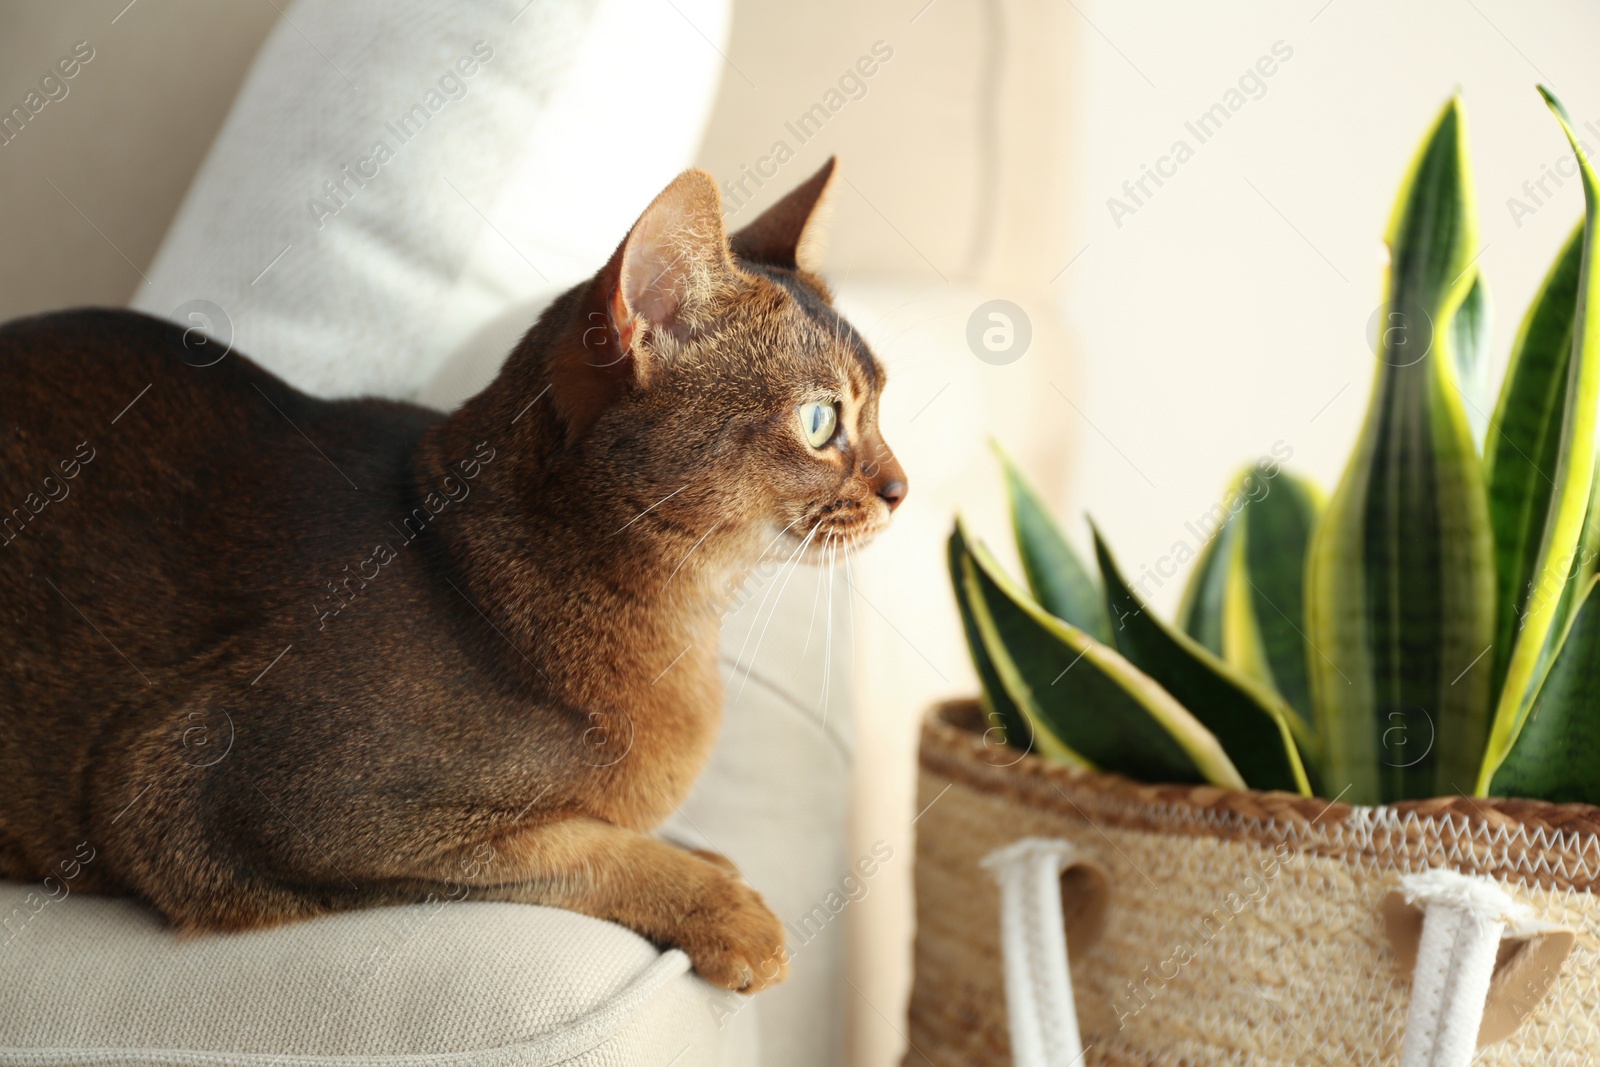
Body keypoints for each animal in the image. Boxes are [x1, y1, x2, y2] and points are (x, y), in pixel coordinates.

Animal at [0, 158, 902, 991]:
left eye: (881, 404)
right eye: (820, 420)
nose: (901, 487)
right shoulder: (202, 799)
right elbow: (576, 846)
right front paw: (724, 907)